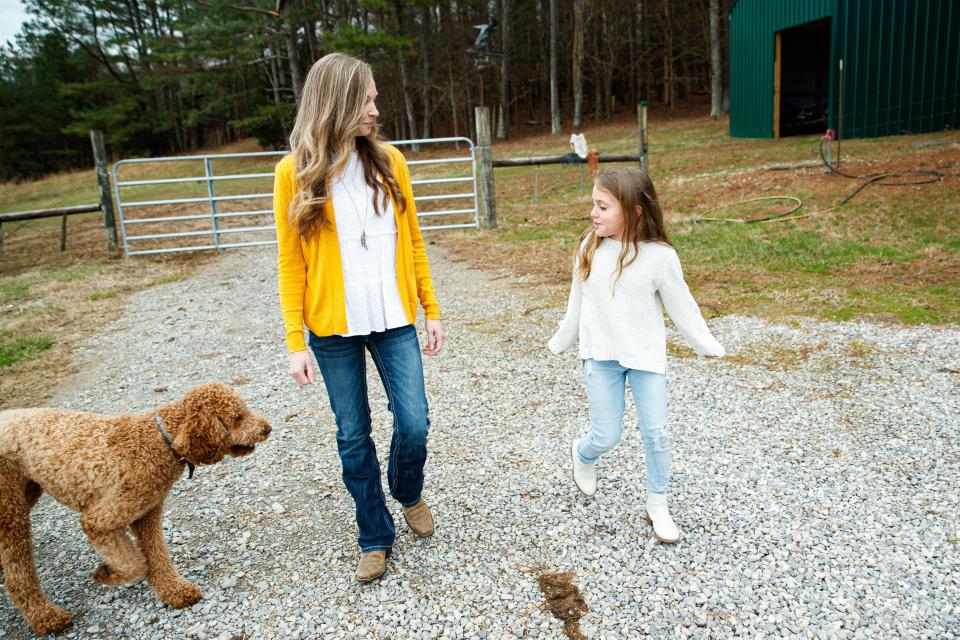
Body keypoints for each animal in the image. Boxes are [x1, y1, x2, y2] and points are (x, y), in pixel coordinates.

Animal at [0, 382, 272, 632]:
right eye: (237, 418)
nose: (267, 428)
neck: (159, 440)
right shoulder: (99, 520)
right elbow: (135, 563)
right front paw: (107, 574)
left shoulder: (147, 514)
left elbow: (157, 554)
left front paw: (174, 590)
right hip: (11, 509)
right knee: (18, 574)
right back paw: (46, 617)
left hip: (29, 490)